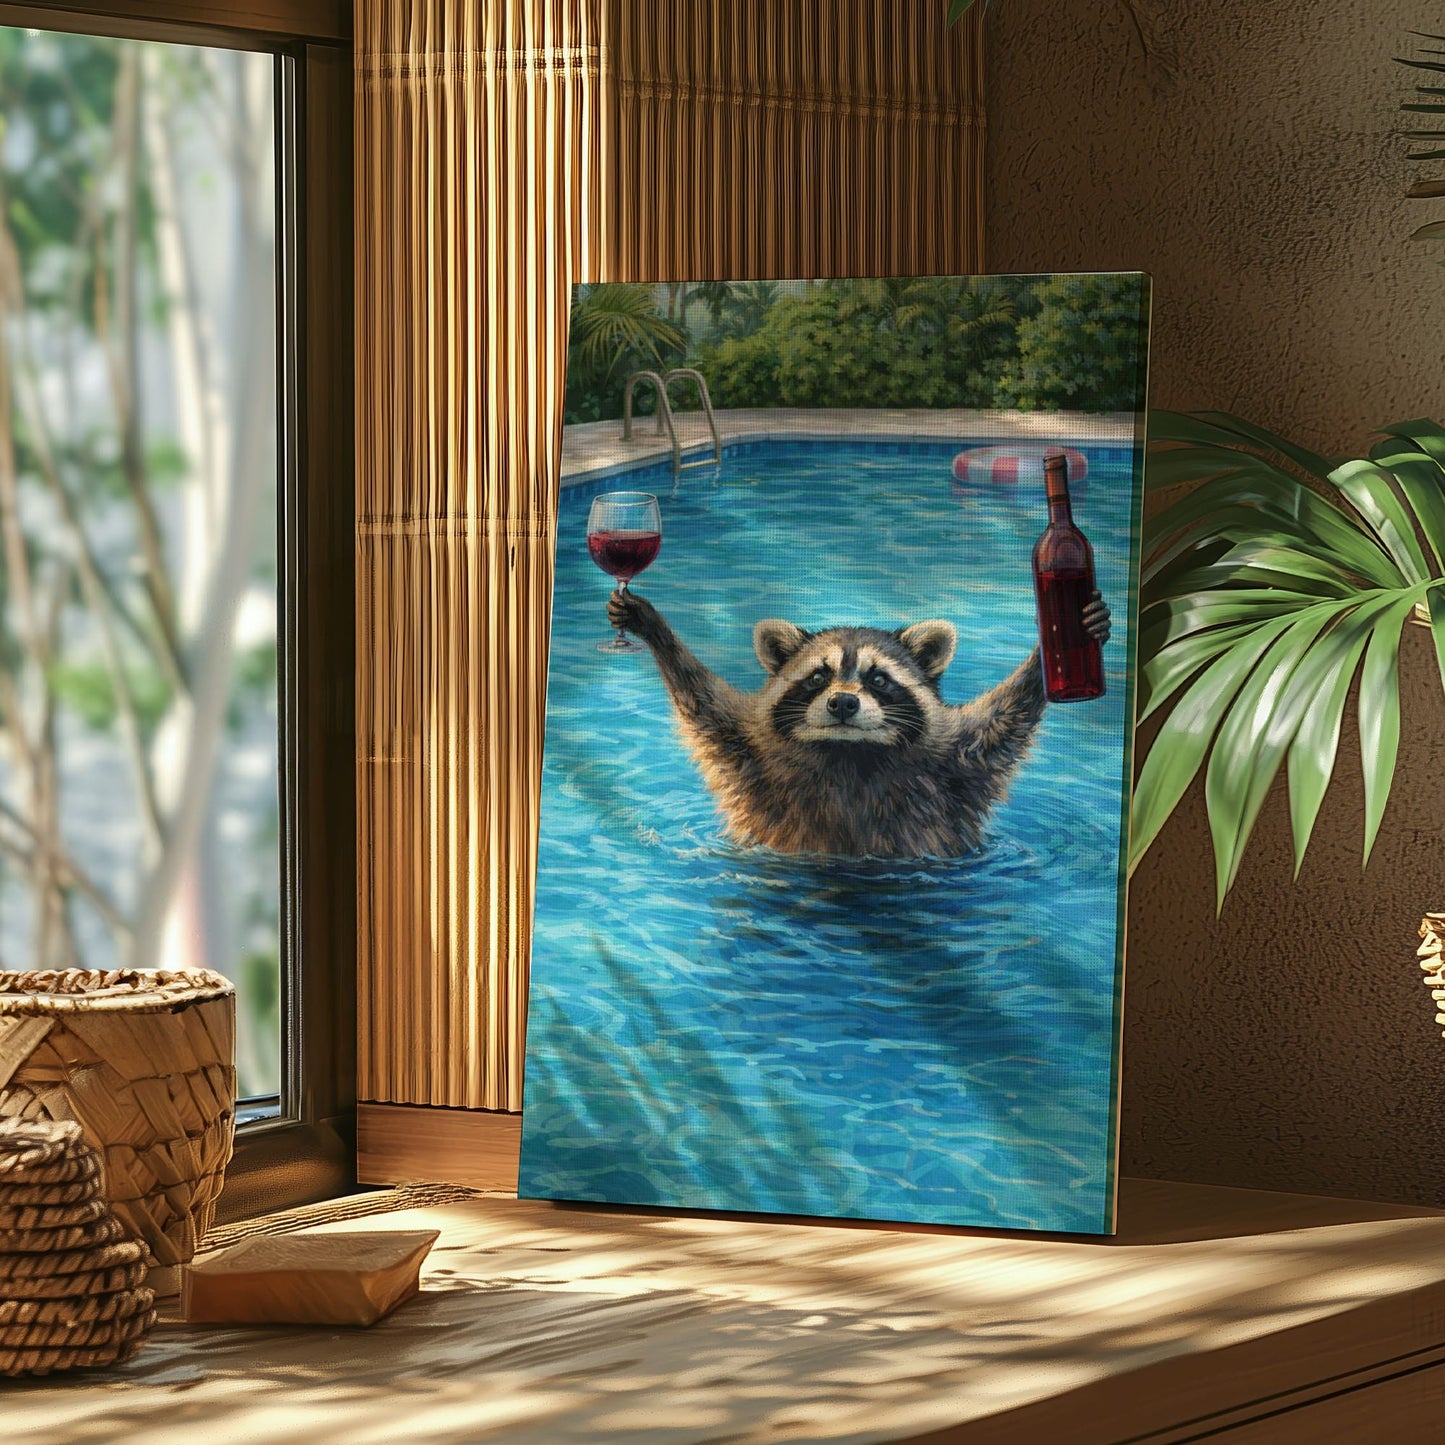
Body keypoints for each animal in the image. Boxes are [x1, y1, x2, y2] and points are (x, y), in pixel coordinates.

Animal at [606, 587, 1110, 858]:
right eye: (817, 676)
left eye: (879, 679)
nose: (844, 704)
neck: (849, 755)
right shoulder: (749, 753)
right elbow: (701, 700)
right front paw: (657, 631)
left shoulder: (958, 766)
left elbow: (1006, 719)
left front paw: (1052, 646)